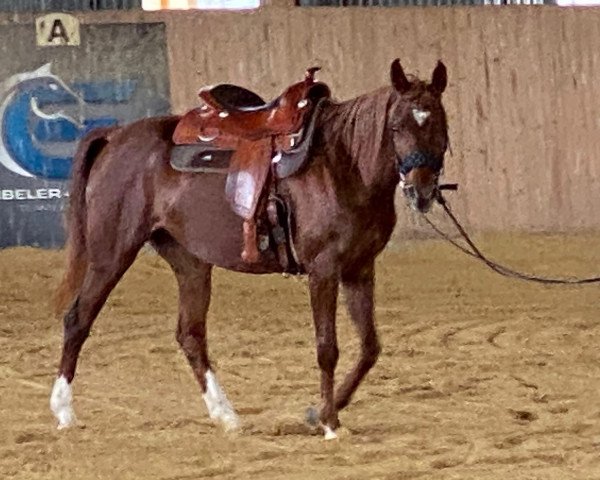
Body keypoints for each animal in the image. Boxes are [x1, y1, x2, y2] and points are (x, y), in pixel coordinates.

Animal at [50, 58, 446, 440]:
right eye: (396, 127)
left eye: (440, 125)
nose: (422, 190)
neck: (343, 164)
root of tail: (115, 135)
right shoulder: (324, 270)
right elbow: (327, 348)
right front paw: (330, 423)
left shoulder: (359, 269)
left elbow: (369, 347)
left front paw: (320, 412)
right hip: (111, 253)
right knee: (78, 319)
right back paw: (64, 411)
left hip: (189, 261)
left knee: (190, 334)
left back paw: (226, 416)